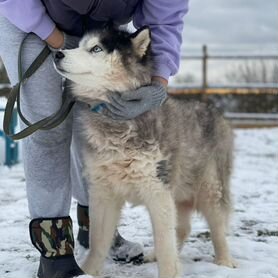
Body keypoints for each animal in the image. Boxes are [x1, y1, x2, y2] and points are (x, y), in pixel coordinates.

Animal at [54, 26, 237, 278]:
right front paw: (88, 272)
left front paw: (169, 272)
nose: (57, 54)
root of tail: (213, 109)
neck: (117, 125)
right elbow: (98, 240)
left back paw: (224, 261)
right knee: (183, 228)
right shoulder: (103, 192)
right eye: (80, 45)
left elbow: (165, 243)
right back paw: (154, 255)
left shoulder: (157, 190)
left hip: (209, 187)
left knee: (217, 227)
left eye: (96, 49)